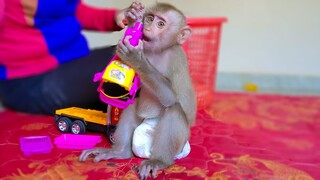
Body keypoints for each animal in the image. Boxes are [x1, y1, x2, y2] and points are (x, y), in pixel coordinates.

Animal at [79, 2, 196, 179]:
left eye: (160, 24)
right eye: (150, 19)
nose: (147, 27)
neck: (156, 53)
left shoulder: (176, 59)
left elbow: (170, 98)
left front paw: (136, 59)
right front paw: (133, 18)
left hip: (180, 146)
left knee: (174, 109)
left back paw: (158, 161)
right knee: (132, 107)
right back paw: (119, 152)